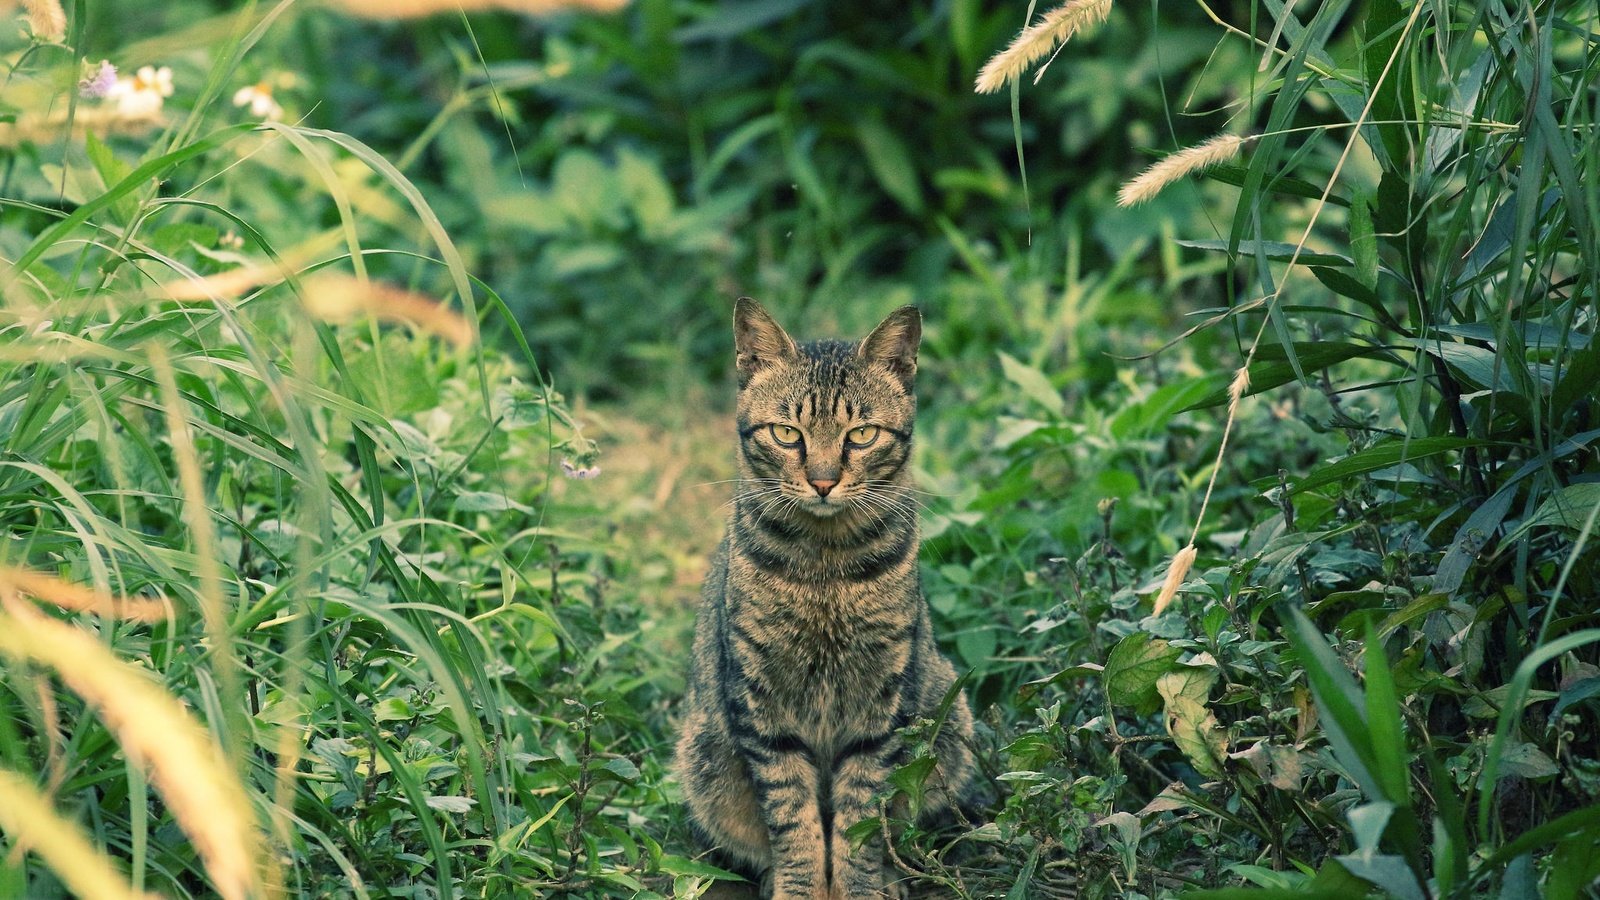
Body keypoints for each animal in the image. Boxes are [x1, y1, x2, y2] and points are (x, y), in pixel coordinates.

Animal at [672, 299, 972, 896]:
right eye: (788, 434)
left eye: (863, 434)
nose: (824, 481)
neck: (825, 570)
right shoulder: (762, 707)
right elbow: (793, 819)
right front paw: (801, 887)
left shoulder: (881, 707)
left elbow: (860, 818)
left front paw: (859, 887)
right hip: (704, 756)